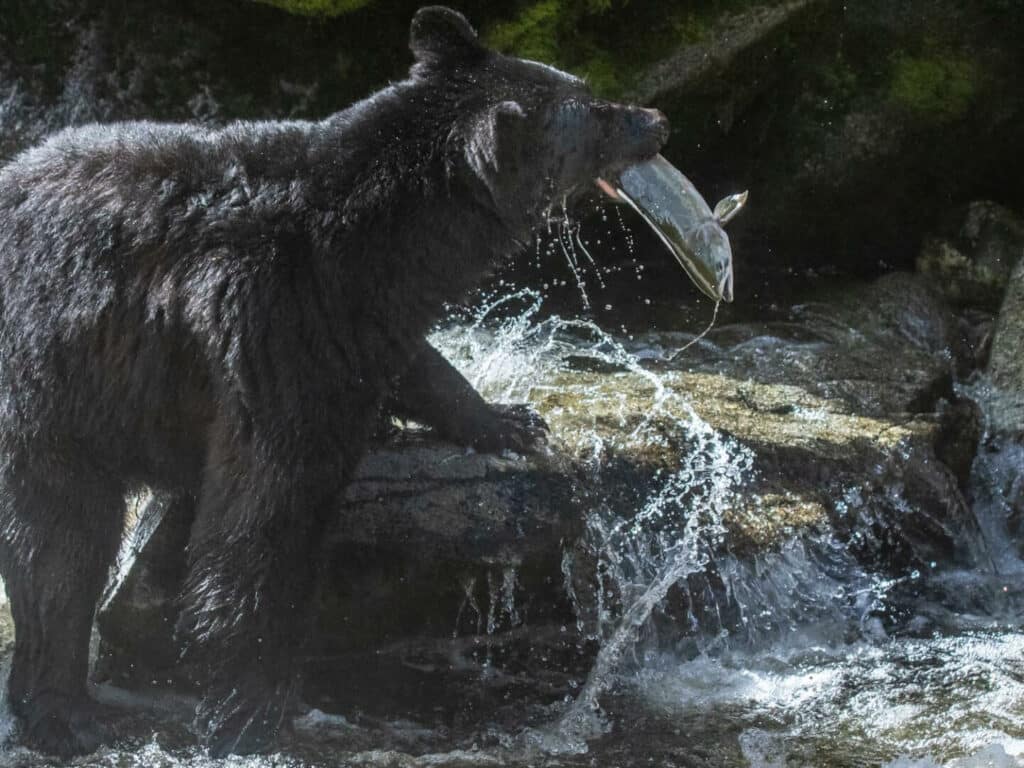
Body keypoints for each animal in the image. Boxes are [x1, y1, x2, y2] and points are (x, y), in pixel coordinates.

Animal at [0, 5, 668, 758]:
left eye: (587, 88)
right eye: (596, 110)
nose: (657, 120)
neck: (376, 237)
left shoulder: (355, 313)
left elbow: (413, 364)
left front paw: (509, 418)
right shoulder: (275, 319)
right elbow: (267, 507)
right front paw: (251, 705)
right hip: (51, 390)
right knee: (62, 547)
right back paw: (66, 713)